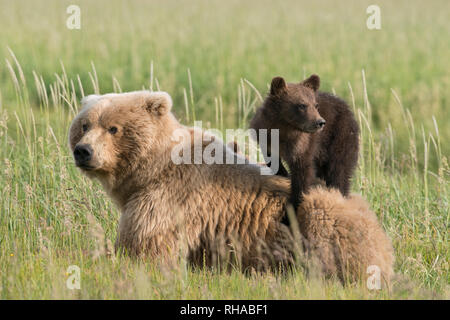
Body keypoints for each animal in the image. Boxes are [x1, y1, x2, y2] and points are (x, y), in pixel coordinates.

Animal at [67, 90, 394, 282]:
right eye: (84, 124)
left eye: (113, 128)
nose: (84, 151)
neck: (151, 168)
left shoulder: (172, 196)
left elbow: (146, 245)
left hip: (324, 215)